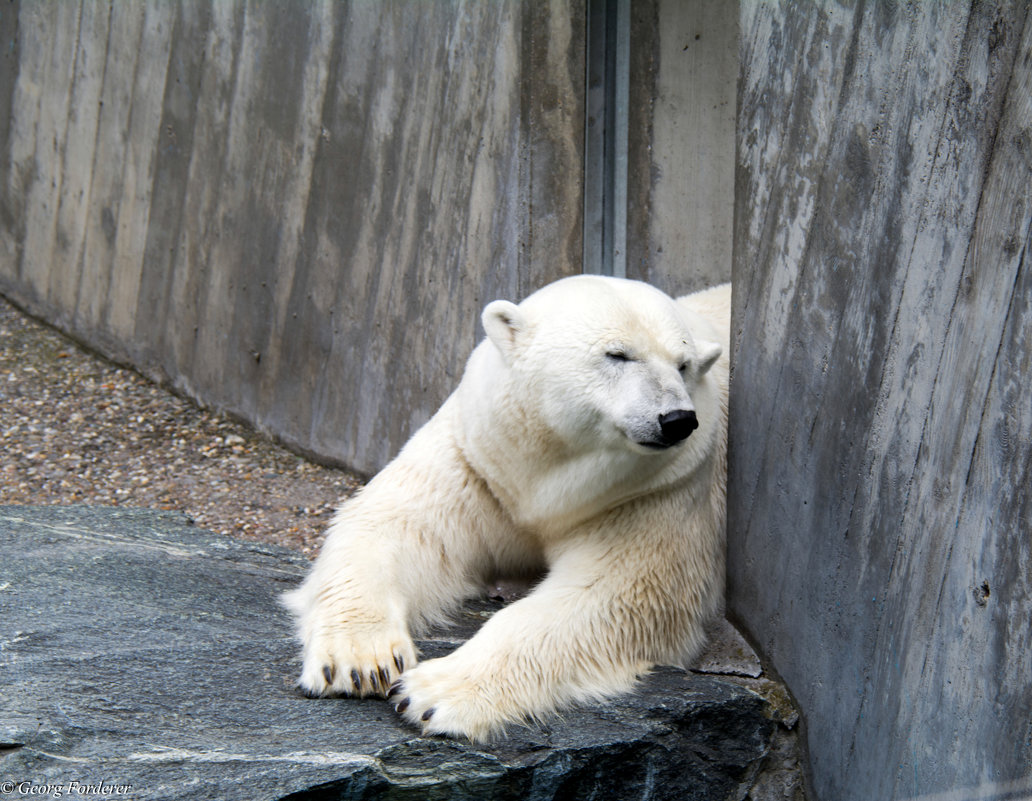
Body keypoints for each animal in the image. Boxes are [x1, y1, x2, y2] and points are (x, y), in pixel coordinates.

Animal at [284, 276, 734, 743]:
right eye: (618, 354)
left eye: (684, 365)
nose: (677, 419)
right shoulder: (480, 459)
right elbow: (398, 527)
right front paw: (360, 662)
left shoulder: (658, 489)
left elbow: (616, 595)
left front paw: (432, 692)